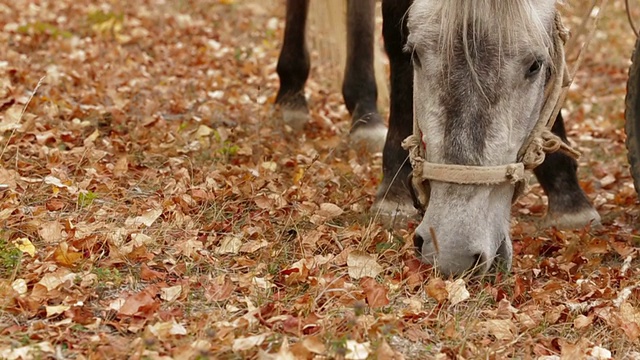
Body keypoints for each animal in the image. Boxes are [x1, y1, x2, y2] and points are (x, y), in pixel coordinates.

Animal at [276, 0, 600, 276]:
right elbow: (394, 36)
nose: (452, 252)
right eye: (415, 54)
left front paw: (568, 197)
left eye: (535, 64)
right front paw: (394, 188)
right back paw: (293, 95)